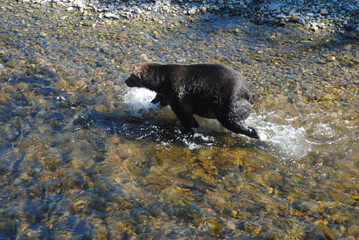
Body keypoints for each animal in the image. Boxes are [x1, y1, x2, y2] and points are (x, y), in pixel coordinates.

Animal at [125, 54, 260, 139]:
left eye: (131, 76)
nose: (126, 81)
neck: (161, 82)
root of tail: (247, 92)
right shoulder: (166, 94)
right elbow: (159, 100)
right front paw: (145, 106)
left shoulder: (178, 93)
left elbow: (185, 115)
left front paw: (191, 129)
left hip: (228, 102)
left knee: (232, 121)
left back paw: (256, 134)